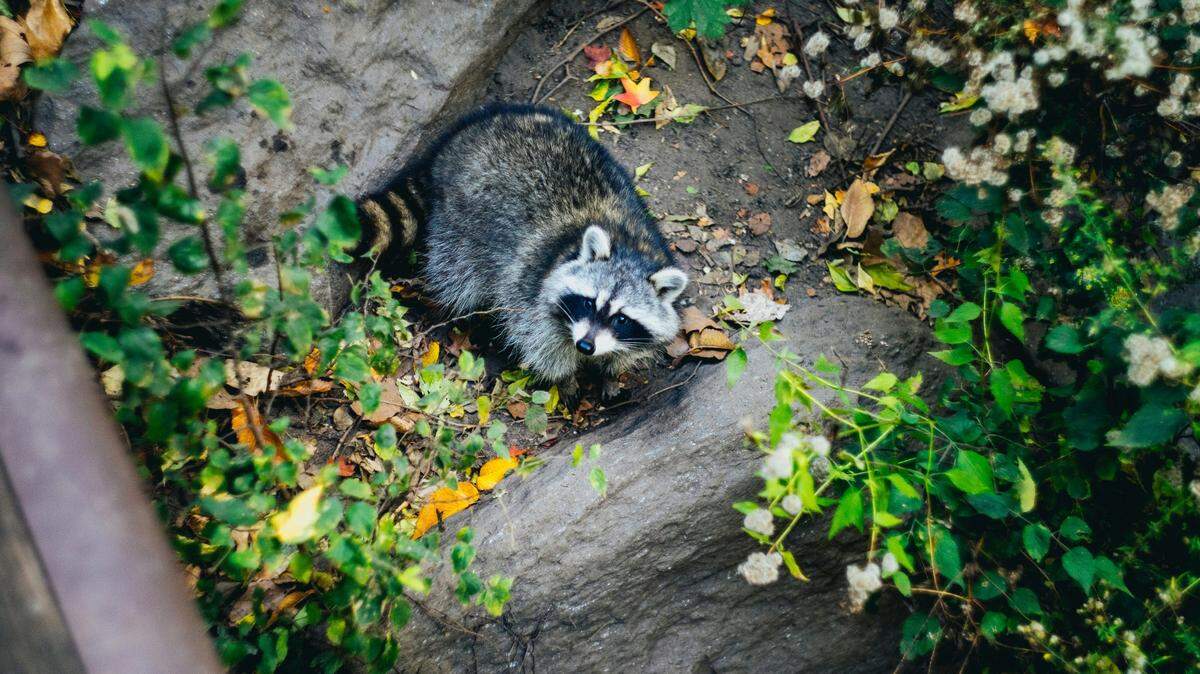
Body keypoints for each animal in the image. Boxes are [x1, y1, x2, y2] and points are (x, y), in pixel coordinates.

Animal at [360, 104, 688, 398]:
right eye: (588, 303)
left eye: (622, 319)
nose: (585, 346)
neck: (630, 247)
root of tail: (458, 140)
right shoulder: (530, 286)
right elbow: (538, 341)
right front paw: (566, 379)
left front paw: (611, 372)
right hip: (460, 223)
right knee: (457, 275)